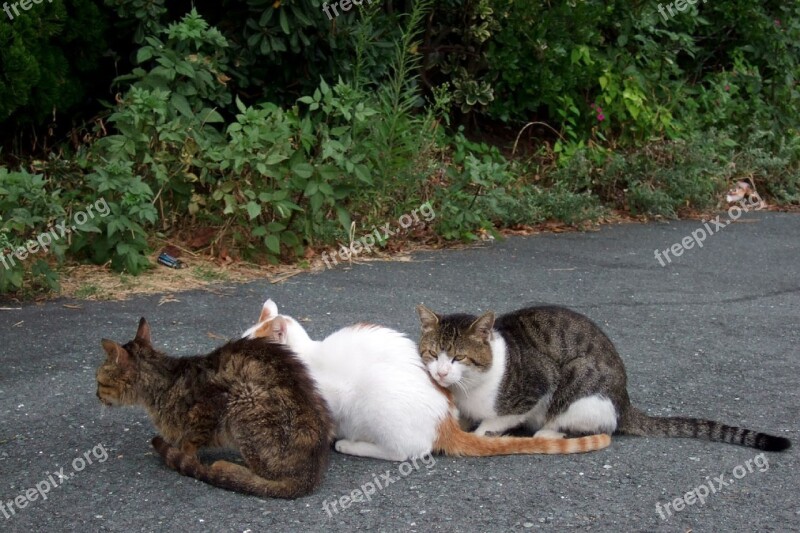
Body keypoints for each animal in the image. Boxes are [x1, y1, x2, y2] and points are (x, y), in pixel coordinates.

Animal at [97, 318, 334, 496]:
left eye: (98, 382)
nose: (96, 395)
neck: (162, 383)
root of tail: (308, 477)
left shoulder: (208, 409)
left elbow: (190, 444)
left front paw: (187, 458)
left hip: (243, 400)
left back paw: (228, 469)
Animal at [416, 304, 792, 448]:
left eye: (459, 357)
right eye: (433, 354)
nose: (442, 372)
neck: (469, 389)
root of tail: (625, 400)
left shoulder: (538, 384)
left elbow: (500, 419)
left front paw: (483, 433)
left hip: (581, 380)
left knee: (592, 422)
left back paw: (548, 432)